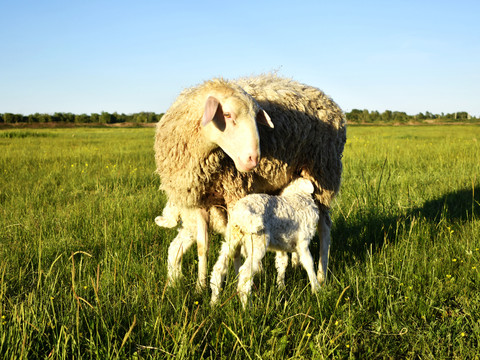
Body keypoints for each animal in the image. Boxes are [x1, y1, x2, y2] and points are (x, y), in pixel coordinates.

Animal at [156, 74, 346, 288]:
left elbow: (237, 246)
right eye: (227, 115)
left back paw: (322, 274)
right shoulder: (201, 202)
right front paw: (200, 286)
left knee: (325, 228)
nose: (253, 159)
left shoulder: (235, 193)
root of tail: (328, 100)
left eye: (256, 117)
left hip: (324, 174)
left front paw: (236, 279)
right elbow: (202, 246)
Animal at [211, 177, 320, 306]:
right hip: (257, 241)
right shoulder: (303, 241)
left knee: (219, 269)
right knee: (245, 274)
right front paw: (317, 289)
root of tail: (240, 213)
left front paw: (280, 287)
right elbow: (309, 263)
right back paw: (248, 307)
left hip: (231, 237)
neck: (299, 195)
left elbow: (282, 262)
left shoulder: (281, 245)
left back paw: (214, 303)